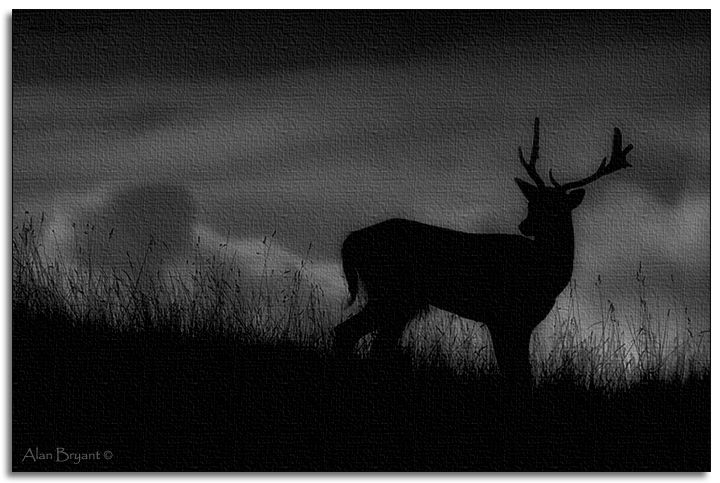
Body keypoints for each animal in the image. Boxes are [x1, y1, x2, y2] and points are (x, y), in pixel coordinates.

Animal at [333, 118, 633, 386]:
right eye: (532, 203)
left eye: (556, 207)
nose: (525, 225)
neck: (544, 274)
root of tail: (352, 239)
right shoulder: (502, 316)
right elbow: (517, 373)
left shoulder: (520, 323)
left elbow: (520, 371)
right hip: (393, 293)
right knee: (351, 334)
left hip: (397, 299)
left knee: (366, 341)